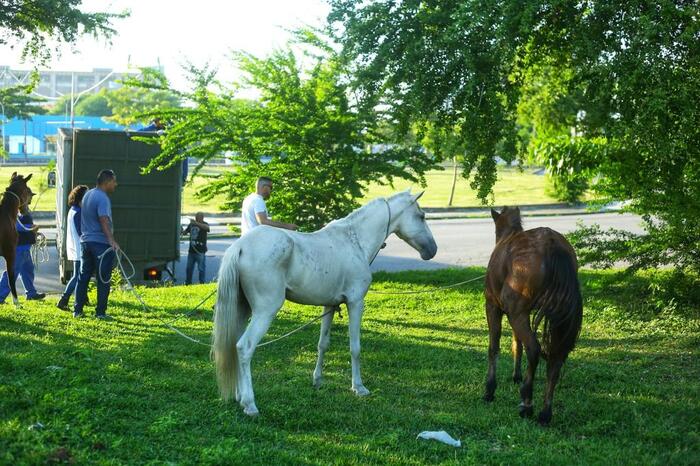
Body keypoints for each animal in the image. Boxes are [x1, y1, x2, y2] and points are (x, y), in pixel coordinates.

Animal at [213, 189, 434, 416]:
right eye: (421, 216)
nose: (432, 250)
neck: (355, 240)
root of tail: (240, 246)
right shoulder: (356, 303)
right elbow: (355, 347)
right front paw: (359, 387)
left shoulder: (329, 306)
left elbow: (322, 344)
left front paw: (317, 380)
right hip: (264, 312)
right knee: (244, 347)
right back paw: (249, 404)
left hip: (243, 310)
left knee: (234, 346)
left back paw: (239, 397)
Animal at [484, 208, 584, 426]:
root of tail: (552, 244)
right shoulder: (522, 312)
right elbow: (516, 343)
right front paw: (516, 375)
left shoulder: (493, 307)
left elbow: (494, 347)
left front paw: (489, 390)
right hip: (552, 318)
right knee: (556, 358)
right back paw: (545, 413)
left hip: (516, 312)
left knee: (534, 349)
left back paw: (527, 402)